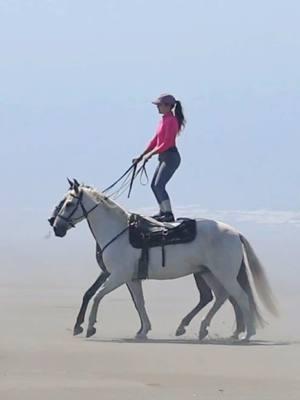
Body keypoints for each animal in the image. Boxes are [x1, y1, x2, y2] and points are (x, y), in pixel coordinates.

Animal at [51, 181, 276, 340]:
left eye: (68, 204)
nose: (56, 227)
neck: (119, 232)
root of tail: (236, 233)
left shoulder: (118, 276)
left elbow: (97, 296)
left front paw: (90, 326)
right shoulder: (131, 279)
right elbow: (139, 303)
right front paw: (143, 331)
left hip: (224, 274)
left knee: (241, 297)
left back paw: (247, 334)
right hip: (208, 273)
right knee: (221, 297)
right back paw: (202, 329)